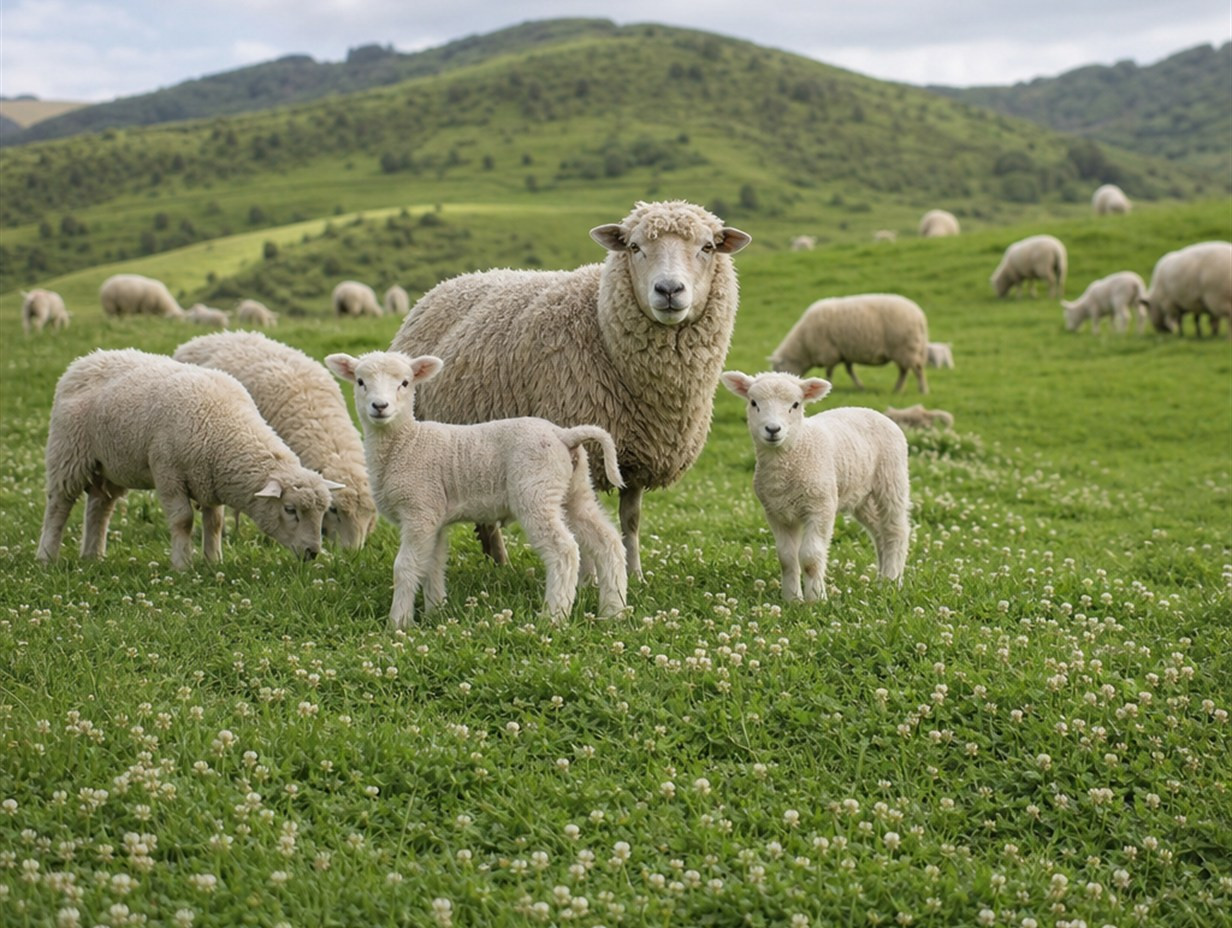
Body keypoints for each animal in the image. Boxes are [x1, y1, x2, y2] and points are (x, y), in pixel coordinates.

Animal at [37, 348, 342, 571]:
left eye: (323, 511)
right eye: (290, 510)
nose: (313, 553)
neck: (226, 428)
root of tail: (83, 361)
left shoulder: (209, 478)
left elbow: (214, 522)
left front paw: (213, 561)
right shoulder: (167, 472)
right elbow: (183, 520)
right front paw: (182, 565)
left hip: (110, 465)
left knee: (100, 508)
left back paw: (93, 556)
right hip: (68, 452)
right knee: (59, 506)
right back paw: (46, 556)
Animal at [325, 350, 628, 628]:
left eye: (405, 382)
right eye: (360, 382)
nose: (380, 406)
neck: (405, 443)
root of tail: (564, 435)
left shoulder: (419, 510)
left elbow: (405, 567)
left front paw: (398, 623)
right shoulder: (434, 516)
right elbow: (433, 564)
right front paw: (436, 612)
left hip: (536, 489)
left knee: (564, 550)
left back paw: (554, 616)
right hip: (574, 490)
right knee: (608, 541)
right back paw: (613, 610)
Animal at [389, 199, 752, 578]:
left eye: (707, 247)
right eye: (634, 247)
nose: (668, 290)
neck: (601, 327)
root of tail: (453, 281)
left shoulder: (640, 454)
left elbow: (632, 519)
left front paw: (636, 574)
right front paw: (590, 577)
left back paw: (499, 563)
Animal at [721, 370, 910, 602]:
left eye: (795, 404)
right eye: (753, 402)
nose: (773, 429)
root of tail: (872, 410)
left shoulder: (821, 507)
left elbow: (810, 558)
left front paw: (816, 599)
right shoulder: (776, 512)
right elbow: (786, 558)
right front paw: (792, 599)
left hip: (892, 477)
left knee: (895, 530)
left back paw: (892, 580)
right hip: (861, 496)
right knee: (879, 531)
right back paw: (882, 578)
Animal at [769, 294, 930, 394]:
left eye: (778, 369)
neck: (803, 345)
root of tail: (920, 317)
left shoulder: (830, 353)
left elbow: (829, 371)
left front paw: (830, 384)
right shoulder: (845, 354)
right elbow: (850, 371)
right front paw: (860, 386)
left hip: (905, 348)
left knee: (916, 369)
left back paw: (922, 390)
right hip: (906, 350)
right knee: (904, 371)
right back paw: (897, 389)